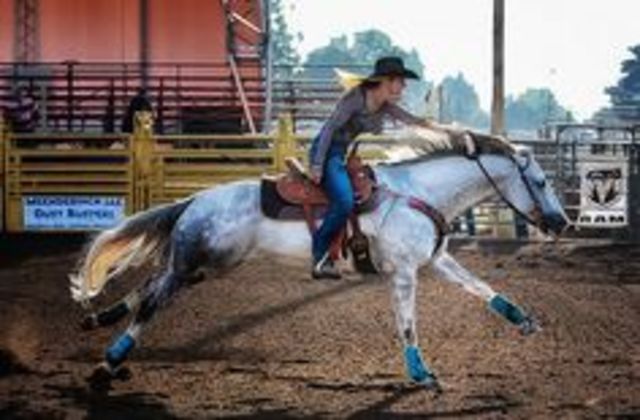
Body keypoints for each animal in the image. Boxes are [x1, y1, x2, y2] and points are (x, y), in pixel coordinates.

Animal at [70, 129, 568, 389]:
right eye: (542, 181)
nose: (562, 222)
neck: (418, 193)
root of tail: (195, 199)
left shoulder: (434, 260)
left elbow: (480, 287)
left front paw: (523, 320)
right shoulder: (404, 273)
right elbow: (408, 323)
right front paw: (420, 372)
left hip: (205, 263)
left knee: (146, 289)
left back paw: (99, 327)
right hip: (199, 261)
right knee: (151, 300)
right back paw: (107, 362)